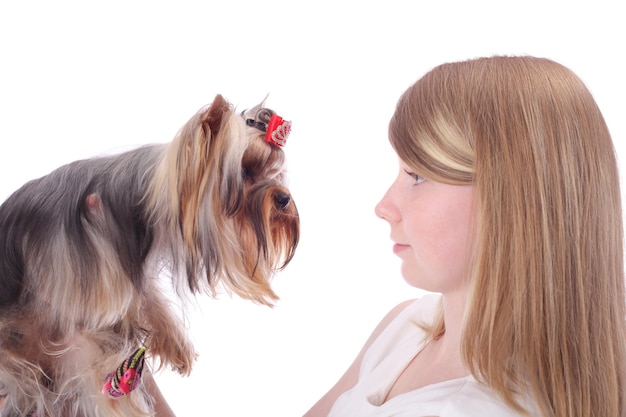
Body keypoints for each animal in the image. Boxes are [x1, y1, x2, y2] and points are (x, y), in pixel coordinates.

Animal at [0, 95, 300, 416]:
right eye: (245, 171)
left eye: (276, 173)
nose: (284, 199)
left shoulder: (134, 269)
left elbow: (148, 298)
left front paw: (177, 347)